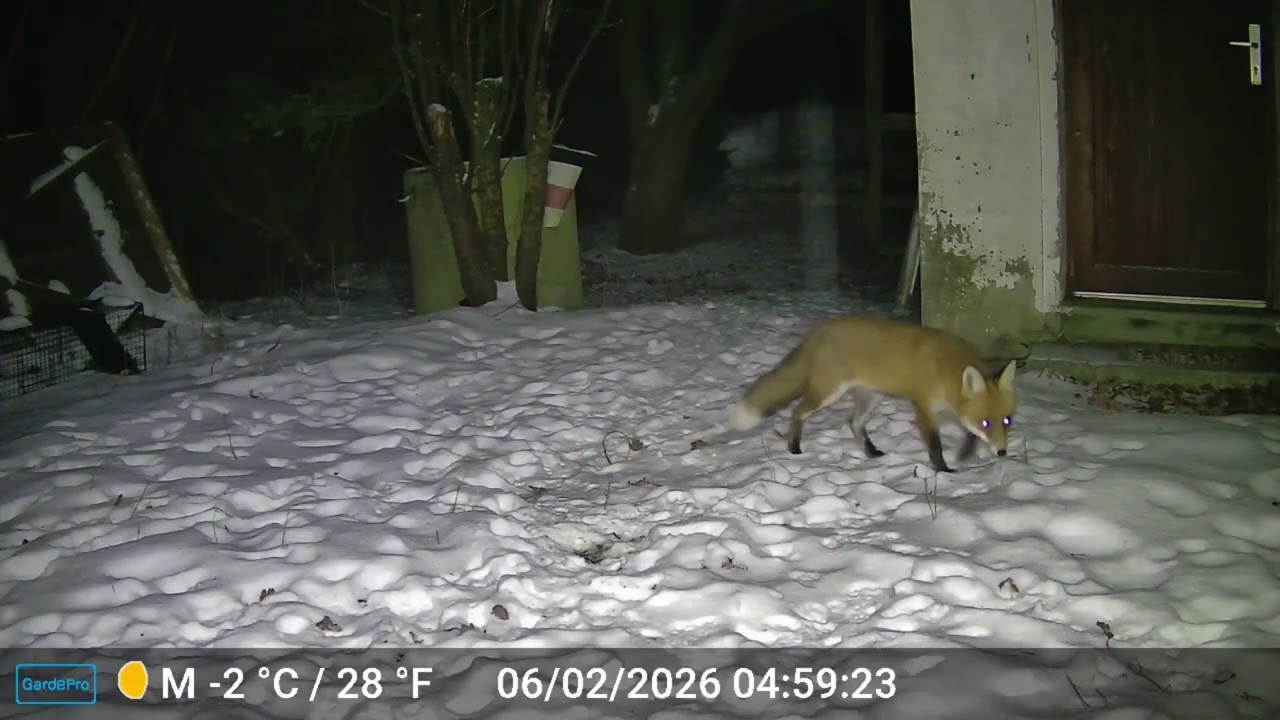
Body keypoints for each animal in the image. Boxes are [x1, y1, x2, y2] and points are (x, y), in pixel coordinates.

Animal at [725, 314, 1017, 473]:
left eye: (1006, 421)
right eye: (986, 422)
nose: (1002, 452)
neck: (945, 369)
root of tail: (823, 327)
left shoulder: (955, 409)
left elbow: (968, 434)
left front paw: (966, 453)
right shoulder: (923, 405)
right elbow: (935, 444)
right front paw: (944, 470)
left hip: (870, 397)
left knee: (853, 422)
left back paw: (871, 452)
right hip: (828, 393)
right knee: (798, 411)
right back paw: (794, 447)